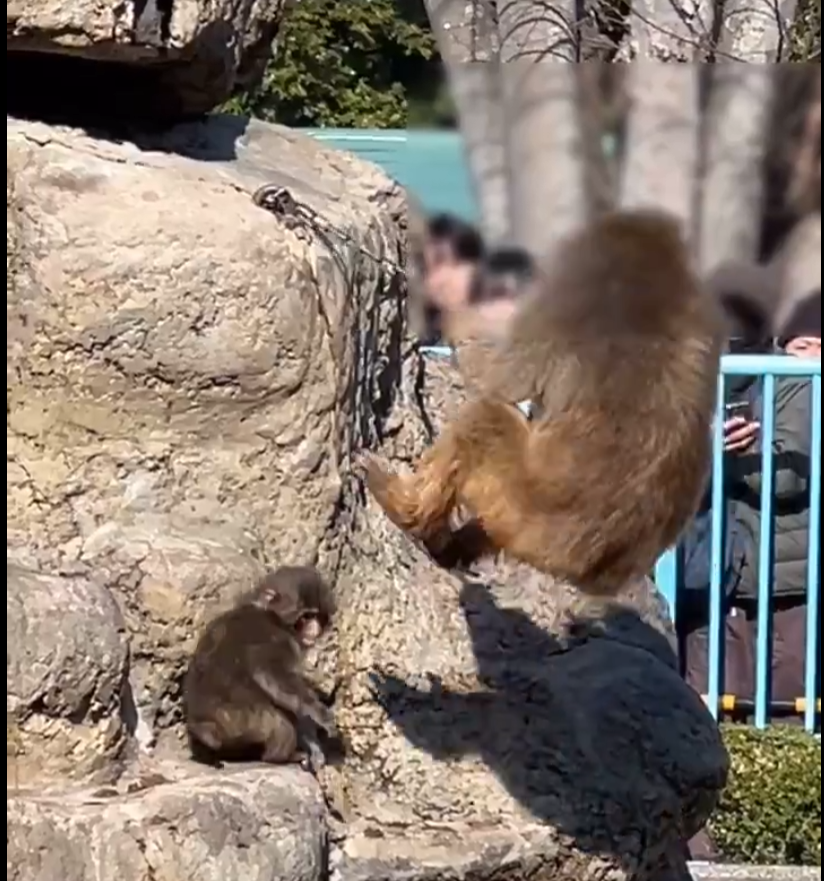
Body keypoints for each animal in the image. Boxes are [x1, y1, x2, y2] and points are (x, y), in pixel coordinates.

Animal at [183, 566, 338, 771]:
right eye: (306, 617)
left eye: (318, 617)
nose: (314, 629)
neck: (271, 614)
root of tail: (203, 725)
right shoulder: (278, 640)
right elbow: (270, 673)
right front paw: (320, 713)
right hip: (240, 719)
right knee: (280, 722)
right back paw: (280, 757)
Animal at [359, 208, 735, 596]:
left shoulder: (566, 295)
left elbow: (498, 374)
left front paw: (455, 311)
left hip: (515, 503)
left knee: (486, 419)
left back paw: (407, 511)